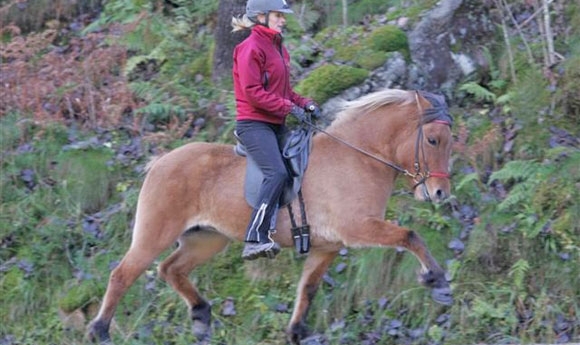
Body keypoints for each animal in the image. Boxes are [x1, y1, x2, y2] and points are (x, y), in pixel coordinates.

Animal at [88, 88, 456, 342]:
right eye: (432, 140)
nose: (439, 193)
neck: (359, 156)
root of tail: (160, 162)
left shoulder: (328, 246)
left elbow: (308, 288)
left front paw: (296, 331)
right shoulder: (358, 228)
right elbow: (410, 236)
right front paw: (437, 281)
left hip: (206, 239)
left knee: (171, 269)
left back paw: (202, 316)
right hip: (156, 233)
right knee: (122, 275)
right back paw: (99, 331)